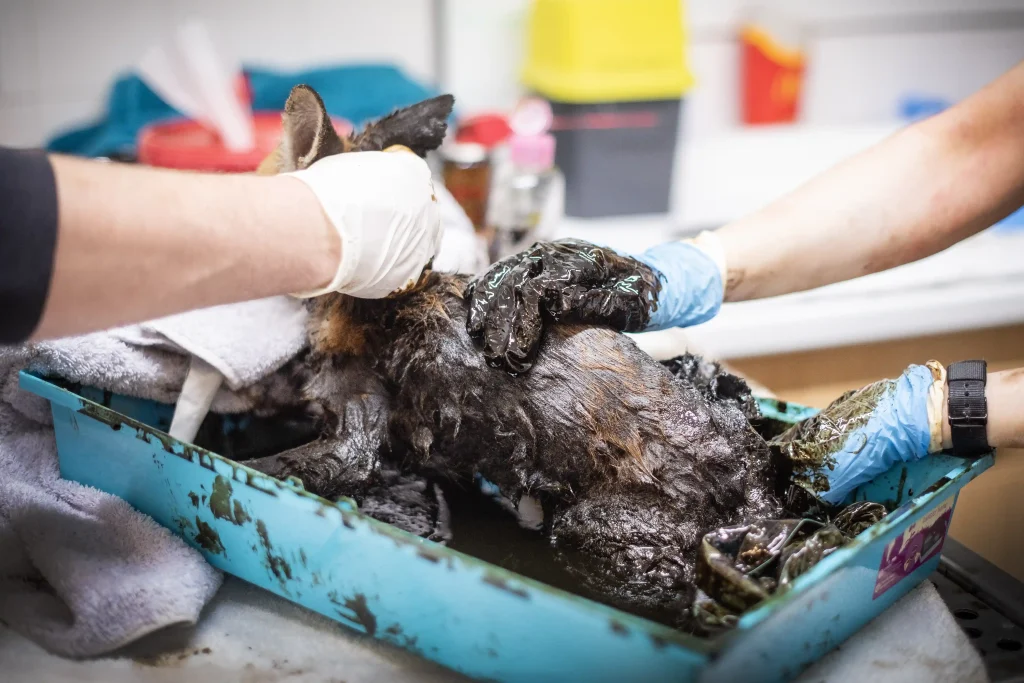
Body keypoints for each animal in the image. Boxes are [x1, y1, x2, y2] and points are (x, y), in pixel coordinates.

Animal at [246, 84, 780, 624]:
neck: (378, 298)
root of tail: (749, 479)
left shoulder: (352, 424)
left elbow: (277, 466)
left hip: (596, 527)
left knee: (677, 592)